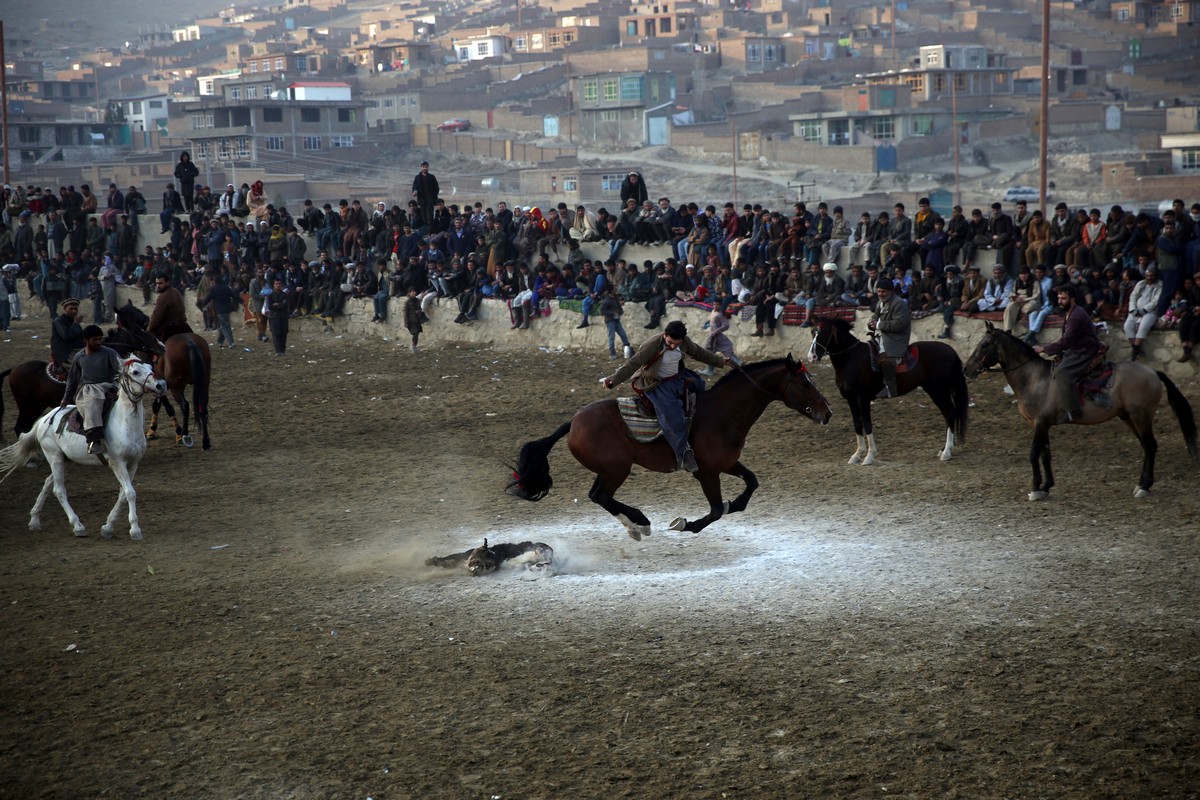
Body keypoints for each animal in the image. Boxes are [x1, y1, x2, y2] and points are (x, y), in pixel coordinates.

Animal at [0, 359, 169, 542]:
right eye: (136, 372)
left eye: (150, 367)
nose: (161, 385)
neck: (124, 422)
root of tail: (44, 420)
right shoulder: (117, 463)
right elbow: (130, 493)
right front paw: (135, 530)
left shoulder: (133, 464)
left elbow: (123, 494)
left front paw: (108, 527)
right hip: (54, 456)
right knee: (59, 490)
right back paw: (77, 526)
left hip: (64, 459)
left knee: (47, 483)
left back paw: (34, 520)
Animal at [501, 357, 830, 542]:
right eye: (804, 383)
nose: (827, 413)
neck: (722, 413)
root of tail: (574, 422)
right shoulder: (706, 473)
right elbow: (714, 511)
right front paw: (685, 525)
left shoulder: (727, 463)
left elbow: (751, 484)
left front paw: (733, 504)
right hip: (617, 469)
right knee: (601, 496)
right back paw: (641, 523)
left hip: (608, 469)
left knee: (598, 496)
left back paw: (635, 527)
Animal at [801, 316, 969, 465]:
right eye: (813, 332)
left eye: (823, 333)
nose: (811, 356)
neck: (851, 358)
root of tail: (949, 350)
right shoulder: (850, 399)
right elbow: (857, 423)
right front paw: (857, 455)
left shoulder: (862, 398)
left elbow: (867, 424)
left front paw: (869, 456)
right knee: (948, 415)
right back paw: (944, 449)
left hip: (938, 390)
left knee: (950, 414)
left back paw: (947, 452)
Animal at [964, 321, 1200, 496]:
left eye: (985, 344)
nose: (967, 369)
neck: (1034, 379)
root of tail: (1153, 372)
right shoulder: (1043, 425)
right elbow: (1045, 455)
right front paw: (1046, 486)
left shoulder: (1040, 424)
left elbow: (1033, 454)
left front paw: (1035, 488)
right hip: (1129, 418)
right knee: (1147, 446)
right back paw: (1143, 483)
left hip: (1141, 416)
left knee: (1150, 445)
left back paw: (1144, 486)